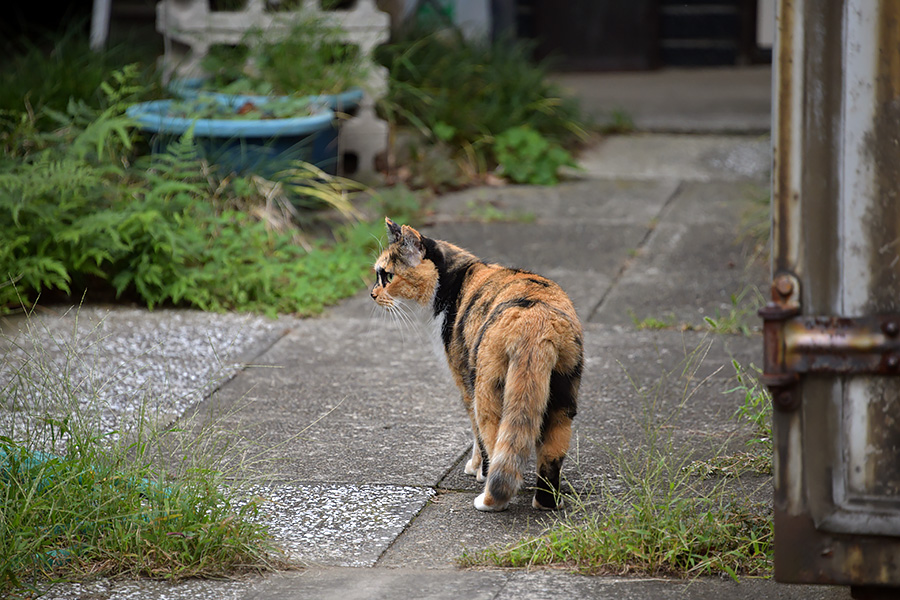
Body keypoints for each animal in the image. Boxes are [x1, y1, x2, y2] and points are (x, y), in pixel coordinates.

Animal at [370, 219, 580, 510]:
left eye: (388, 276)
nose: (372, 294)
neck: (452, 282)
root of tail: (535, 321)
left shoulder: (464, 381)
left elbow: (475, 433)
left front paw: (476, 468)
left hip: (488, 389)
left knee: (493, 438)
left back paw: (489, 499)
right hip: (563, 395)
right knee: (551, 453)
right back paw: (545, 502)